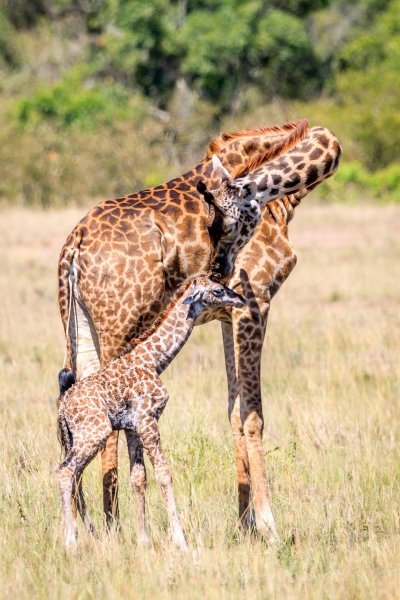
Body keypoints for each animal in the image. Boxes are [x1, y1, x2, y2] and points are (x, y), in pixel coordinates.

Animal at [55, 276, 244, 548]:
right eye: (218, 290)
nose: (240, 299)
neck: (154, 360)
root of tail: (63, 405)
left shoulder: (133, 427)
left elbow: (138, 478)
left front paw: (143, 540)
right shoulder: (148, 419)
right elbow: (164, 474)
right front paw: (180, 540)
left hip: (72, 437)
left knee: (75, 476)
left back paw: (87, 533)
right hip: (94, 433)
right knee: (65, 471)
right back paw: (71, 541)